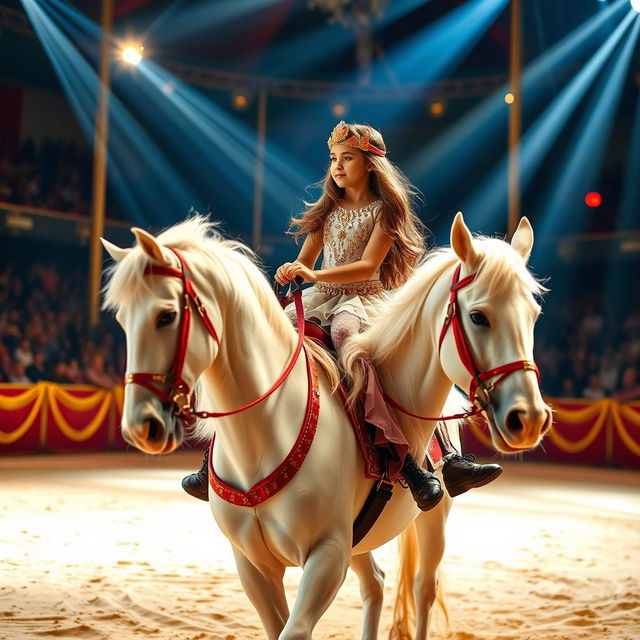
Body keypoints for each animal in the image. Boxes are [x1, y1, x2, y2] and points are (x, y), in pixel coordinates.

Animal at [102, 214, 552, 640]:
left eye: (166, 315)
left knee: (424, 588)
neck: (264, 432)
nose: (528, 418)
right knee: (376, 584)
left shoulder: (327, 555)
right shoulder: (253, 565)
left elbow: (296, 629)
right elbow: (278, 626)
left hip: (431, 520)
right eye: (122, 318)